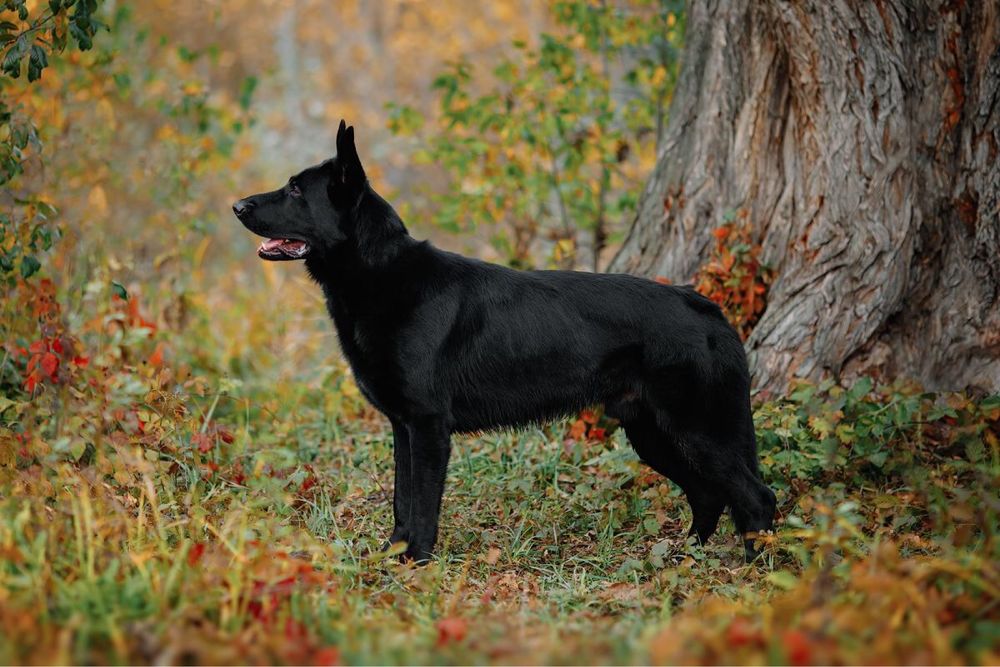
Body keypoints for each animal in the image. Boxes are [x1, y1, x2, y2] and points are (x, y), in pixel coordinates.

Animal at [232, 121, 772, 564]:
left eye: (296, 189)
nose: (236, 205)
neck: (384, 274)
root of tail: (705, 306)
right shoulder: (403, 428)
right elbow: (401, 500)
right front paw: (392, 556)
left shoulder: (427, 427)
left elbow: (421, 503)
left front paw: (416, 566)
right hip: (653, 434)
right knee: (709, 495)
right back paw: (683, 560)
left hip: (699, 431)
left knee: (755, 497)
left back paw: (751, 575)